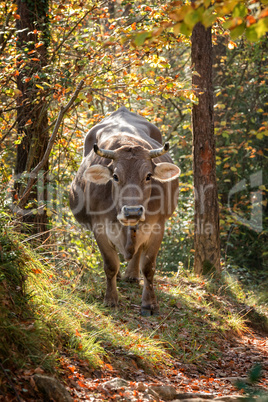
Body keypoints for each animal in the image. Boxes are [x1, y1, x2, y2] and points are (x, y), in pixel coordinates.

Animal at [70, 107, 181, 318]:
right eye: (115, 176)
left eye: (148, 176)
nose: (132, 211)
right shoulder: (99, 228)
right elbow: (110, 264)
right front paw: (111, 299)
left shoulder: (158, 226)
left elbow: (148, 267)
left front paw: (149, 304)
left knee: (137, 252)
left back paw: (131, 275)